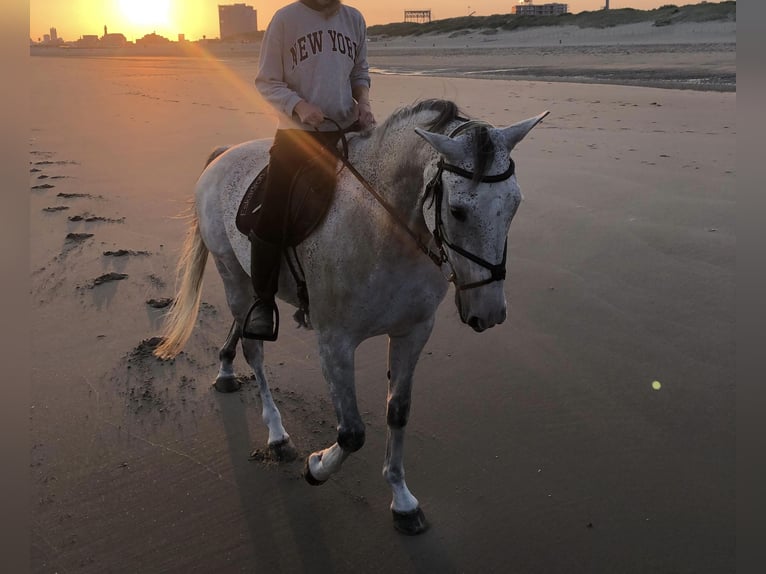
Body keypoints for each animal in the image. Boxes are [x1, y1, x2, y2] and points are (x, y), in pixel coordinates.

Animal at [156, 98, 548, 536]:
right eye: (458, 211)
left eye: (515, 204)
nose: (490, 312)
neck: (383, 228)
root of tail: (224, 155)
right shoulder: (335, 343)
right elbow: (352, 433)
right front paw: (316, 467)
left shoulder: (414, 333)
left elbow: (399, 412)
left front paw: (402, 501)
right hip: (231, 273)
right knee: (254, 351)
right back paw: (277, 435)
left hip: (248, 281)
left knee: (244, 327)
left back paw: (225, 371)